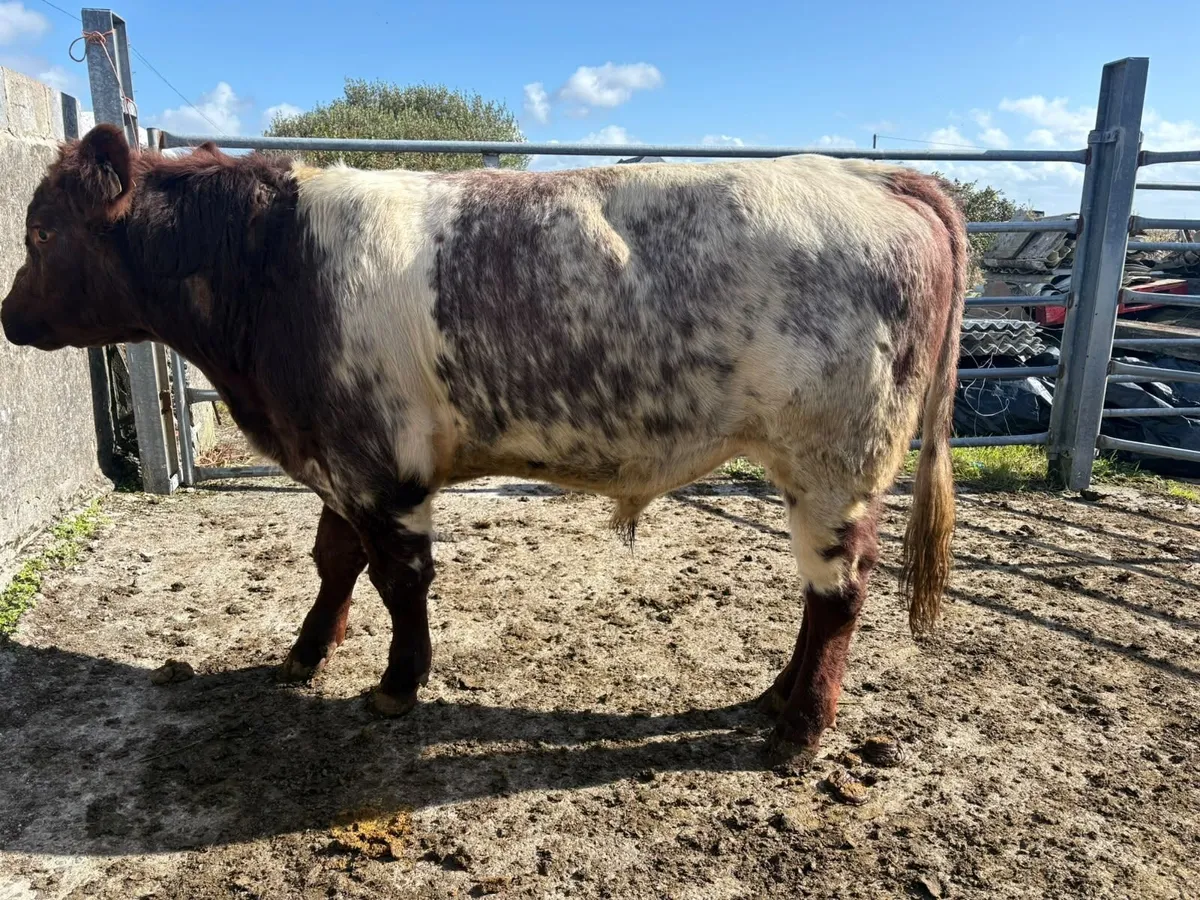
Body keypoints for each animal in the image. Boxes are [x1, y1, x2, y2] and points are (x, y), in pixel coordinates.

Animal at [1, 124, 965, 771]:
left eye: (41, 234)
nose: (9, 316)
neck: (274, 266)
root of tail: (878, 176)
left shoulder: (377, 466)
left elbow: (398, 576)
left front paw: (397, 683)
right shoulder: (337, 456)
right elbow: (333, 559)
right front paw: (307, 652)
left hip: (835, 461)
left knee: (838, 594)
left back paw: (801, 728)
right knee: (819, 594)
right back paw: (773, 700)